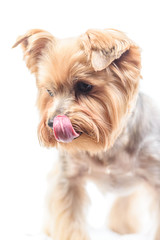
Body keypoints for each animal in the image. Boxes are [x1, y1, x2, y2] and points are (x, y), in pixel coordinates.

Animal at [13, 28, 160, 240]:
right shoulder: (68, 177)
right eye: (49, 91)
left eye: (84, 86)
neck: (110, 146)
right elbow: (69, 218)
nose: (52, 123)